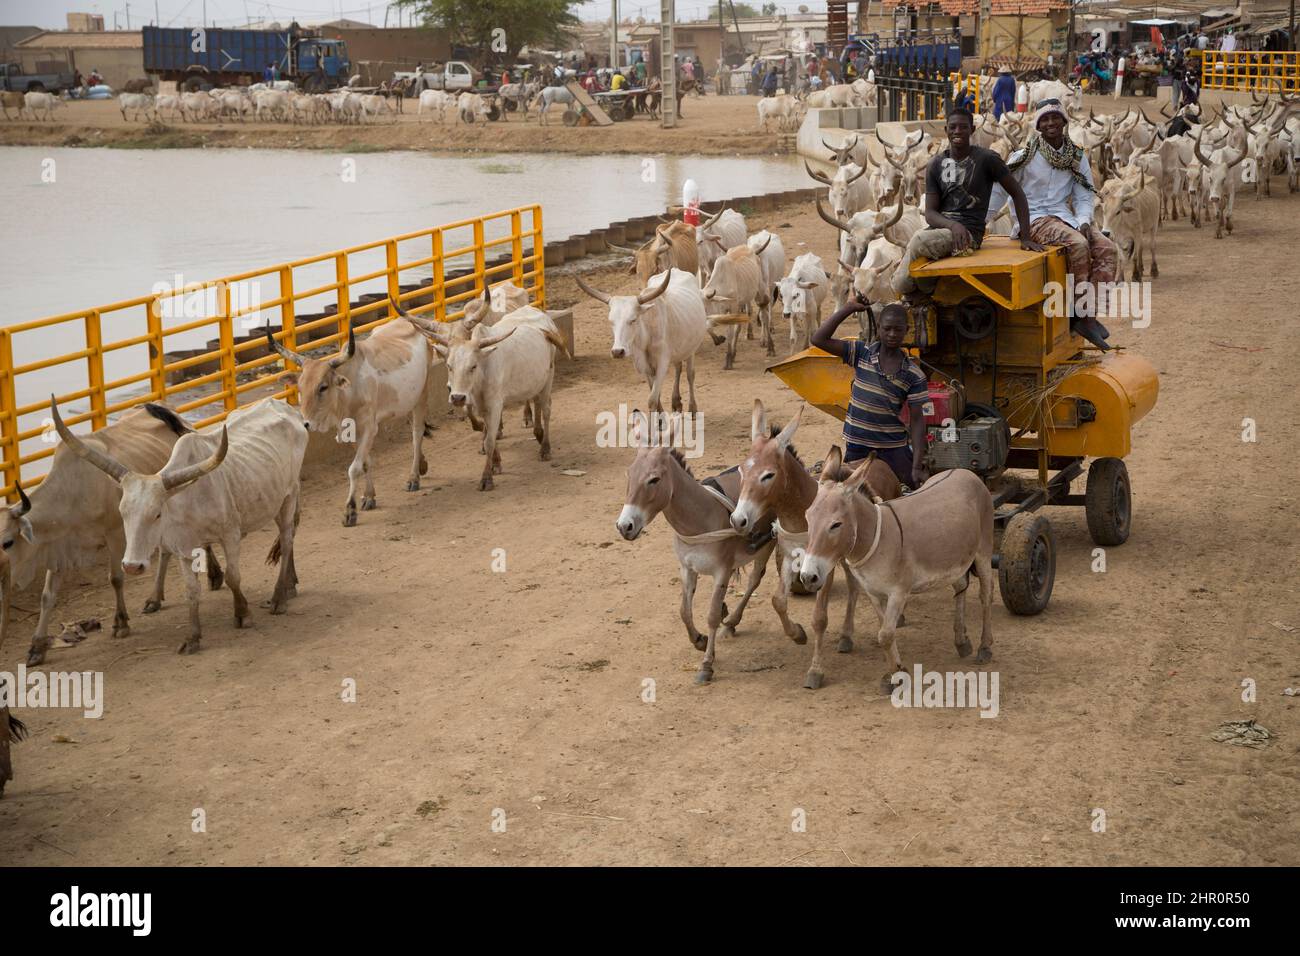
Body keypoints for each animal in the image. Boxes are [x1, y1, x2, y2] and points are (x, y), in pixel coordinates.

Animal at [54, 398, 308, 658]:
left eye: (157, 514)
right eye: (123, 512)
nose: (132, 566)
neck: (188, 501)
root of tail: (283, 407)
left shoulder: (231, 535)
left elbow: (233, 577)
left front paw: (242, 613)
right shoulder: (182, 549)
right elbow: (191, 590)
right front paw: (193, 637)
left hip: (289, 495)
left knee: (287, 538)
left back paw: (280, 597)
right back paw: (290, 585)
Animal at [263, 321, 436, 530]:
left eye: (323, 387)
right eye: (300, 388)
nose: (305, 423)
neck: (350, 391)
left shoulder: (369, 428)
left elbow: (354, 468)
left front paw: (350, 511)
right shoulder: (351, 431)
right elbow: (365, 463)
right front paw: (369, 496)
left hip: (422, 395)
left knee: (416, 435)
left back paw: (413, 477)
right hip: (407, 401)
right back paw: (422, 464)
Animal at [574, 270, 707, 416]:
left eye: (633, 320)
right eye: (611, 321)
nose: (617, 352)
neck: (646, 338)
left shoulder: (662, 363)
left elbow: (652, 399)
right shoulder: (645, 366)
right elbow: (655, 395)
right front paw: (661, 419)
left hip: (691, 348)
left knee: (690, 374)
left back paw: (692, 408)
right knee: (678, 367)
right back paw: (676, 401)